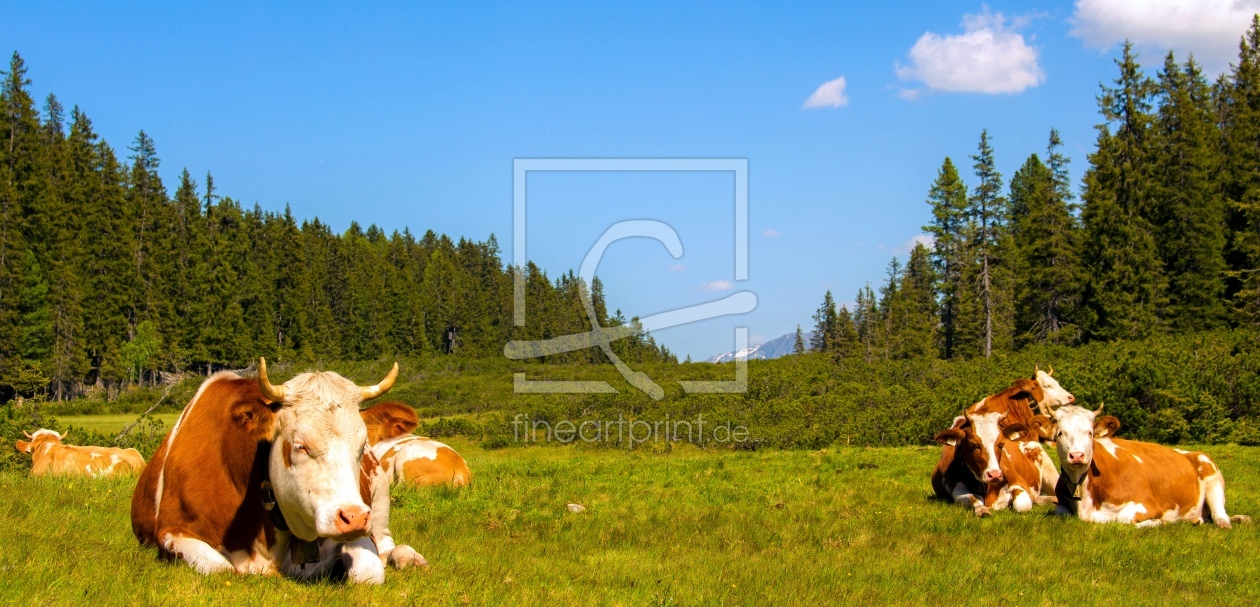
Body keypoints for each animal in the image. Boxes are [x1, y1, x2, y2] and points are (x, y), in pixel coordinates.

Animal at [130, 360, 428, 584]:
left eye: (362, 445)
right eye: (300, 446)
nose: (353, 517)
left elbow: (369, 571)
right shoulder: (172, 531)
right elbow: (220, 568)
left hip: (379, 499)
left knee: (387, 543)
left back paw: (408, 557)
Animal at [1043, 405, 1249, 528]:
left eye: (1090, 433)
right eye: (1060, 433)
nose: (1077, 455)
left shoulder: (1146, 504)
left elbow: (1124, 519)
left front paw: (1159, 522)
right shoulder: (1061, 503)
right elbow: (1059, 511)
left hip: (1213, 478)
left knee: (1220, 516)